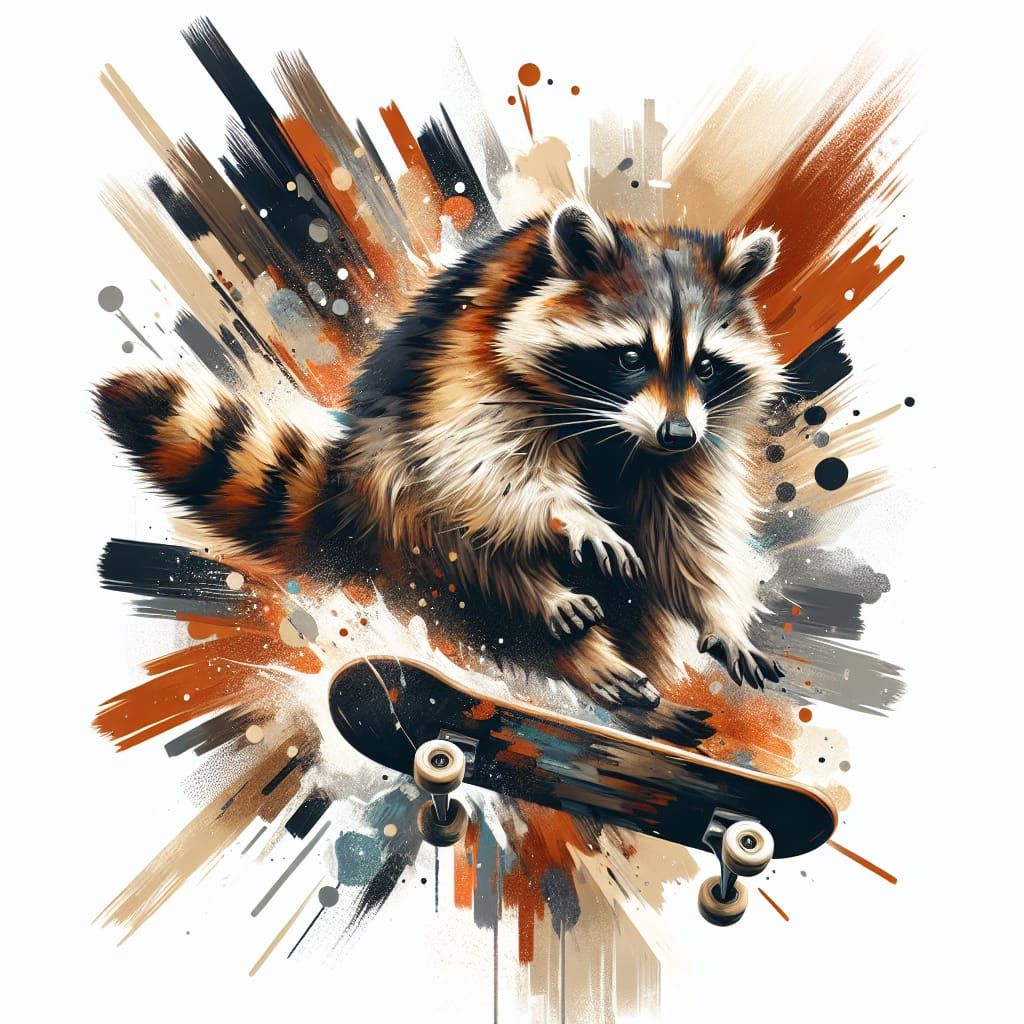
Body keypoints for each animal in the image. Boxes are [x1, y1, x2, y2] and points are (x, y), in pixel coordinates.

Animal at [96, 201, 786, 709]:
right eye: (630, 356)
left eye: (706, 364)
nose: (676, 434)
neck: (616, 431)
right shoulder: (473, 365)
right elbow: (488, 466)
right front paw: (569, 515)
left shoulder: (696, 437)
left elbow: (684, 530)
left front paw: (721, 615)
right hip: (389, 490)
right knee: (446, 526)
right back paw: (553, 613)